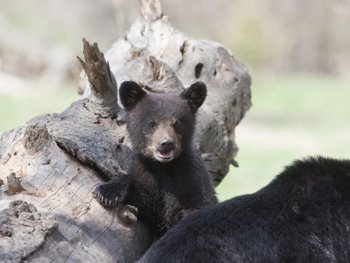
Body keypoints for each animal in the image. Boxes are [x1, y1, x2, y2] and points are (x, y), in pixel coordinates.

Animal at [94, 81, 217, 239]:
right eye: (152, 123)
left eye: (176, 123)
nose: (166, 143)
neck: (163, 168)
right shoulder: (146, 176)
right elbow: (140, 197)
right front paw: (106, 192)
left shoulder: (192, 180)